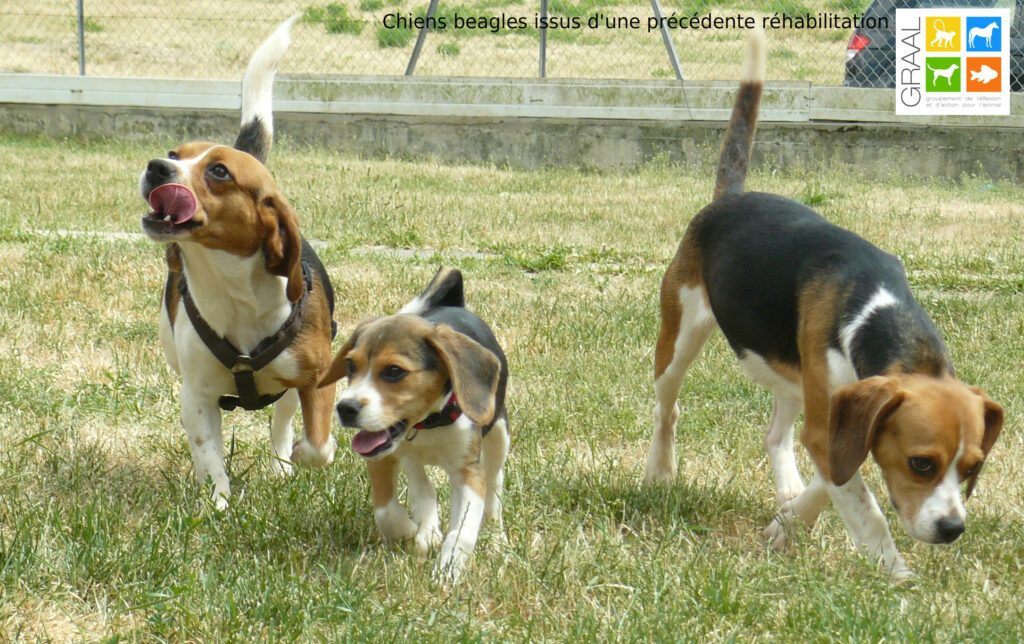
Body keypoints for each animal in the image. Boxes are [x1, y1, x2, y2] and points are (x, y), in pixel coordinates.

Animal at [317, 268, 509, 581]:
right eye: (350, 366)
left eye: (394, 371)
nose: (345, 409)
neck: (427, 425)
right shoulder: (381, 457)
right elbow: (385, 510)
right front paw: (411, 537)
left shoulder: (467, 470)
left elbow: (463, 531)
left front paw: (448, 570)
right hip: (408, 458)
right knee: (423, 487)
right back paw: (427, 528)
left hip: (499, 434)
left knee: (495, 484)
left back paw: (496, 536)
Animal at [647, 32, 999, 581]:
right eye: (921, 464)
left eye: (971, 467)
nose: (952, 530)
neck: (878, 314)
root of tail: (730, 198)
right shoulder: (828, 426)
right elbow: (866, 507)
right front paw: (897, 576)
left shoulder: (839, 424)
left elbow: (837, 477)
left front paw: (790, 521)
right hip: (680, 335)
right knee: (669, 406)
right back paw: (660, 470)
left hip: (791, 372)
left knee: (775, 435)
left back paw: (787, 488)